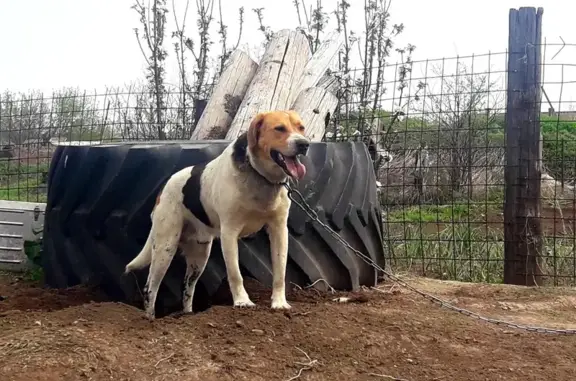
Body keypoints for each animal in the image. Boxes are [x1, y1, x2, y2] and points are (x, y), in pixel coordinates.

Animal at [125, 109, 310, 318]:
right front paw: (242, 302)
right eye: (279, 128)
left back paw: (188, 315)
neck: (260, 176)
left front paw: (279, 303)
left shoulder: (279, 230)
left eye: (301, 127)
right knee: (151, 288)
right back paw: (150, 319)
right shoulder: (229, 232)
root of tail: (164, 186)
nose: (304, 144)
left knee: (187, 287)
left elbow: (280, 272)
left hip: (200, 255)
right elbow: (235, 273)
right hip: (166, 247)